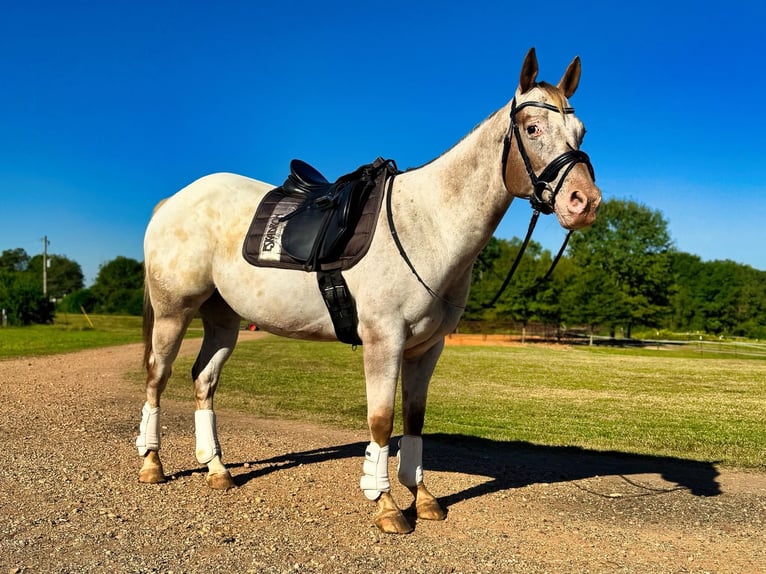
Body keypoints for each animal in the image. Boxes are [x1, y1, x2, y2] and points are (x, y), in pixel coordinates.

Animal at [136, 47, 601, 534]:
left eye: (581, 131)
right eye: (532, 129)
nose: (584, 202)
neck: (429, 224)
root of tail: (173, 201)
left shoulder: (426, 348)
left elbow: (414, 419)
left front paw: (422, 496)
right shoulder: (384, 340)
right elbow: (381, 421)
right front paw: (386, 504)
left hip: (223, 319)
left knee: (203, 380)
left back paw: (216, 469)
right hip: (173, 313)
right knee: (157, 376)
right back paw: (152, 464)